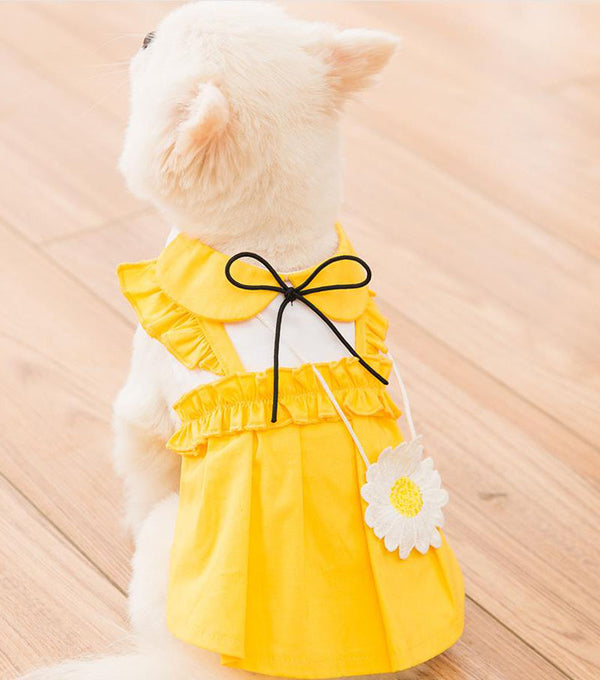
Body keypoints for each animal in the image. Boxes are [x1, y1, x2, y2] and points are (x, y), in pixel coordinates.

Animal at [22, 1, 418, 680]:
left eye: (154, 45)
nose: (145, 28)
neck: (271, 257)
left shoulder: (145, 399)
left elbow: (142, 465)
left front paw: (128, 512)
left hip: (169, 543)